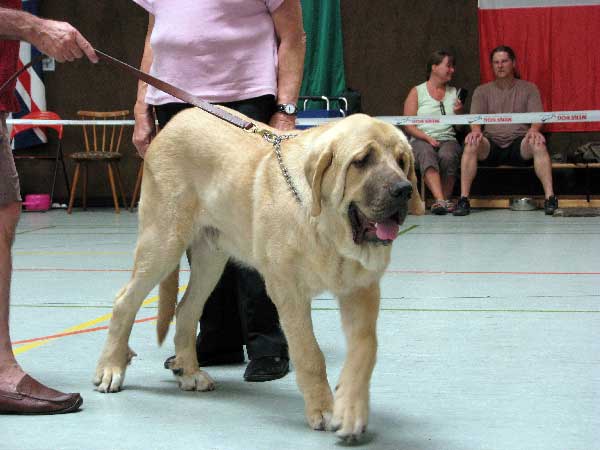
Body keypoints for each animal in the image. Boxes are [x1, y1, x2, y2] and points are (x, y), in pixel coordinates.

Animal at [92, 110, 422, 442]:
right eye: (361, 161)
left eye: (402, 161)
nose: (404, 190)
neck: (325, 229)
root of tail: (175, 121)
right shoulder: (289, 292)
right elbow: (310, 354)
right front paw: (323, 410)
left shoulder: (361, 290)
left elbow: (365, 351)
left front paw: (350, 411)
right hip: (162, 243)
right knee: (124, 301)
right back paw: (111, 368)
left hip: (211, 258)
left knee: (186, 309)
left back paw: (189, 372)